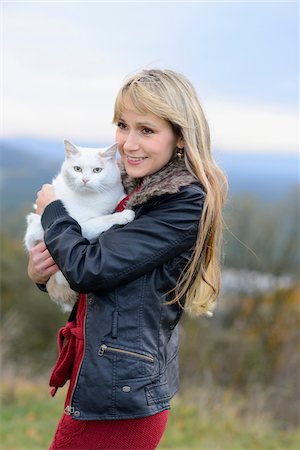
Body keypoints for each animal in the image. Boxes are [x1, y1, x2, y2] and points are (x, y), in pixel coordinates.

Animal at [24, 139, 134, 312]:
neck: (95, 197)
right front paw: (122, 215)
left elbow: (119, 198)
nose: (85, 180)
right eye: (77, 169)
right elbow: (102, 220)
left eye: (97, 170)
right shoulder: (82, 225)